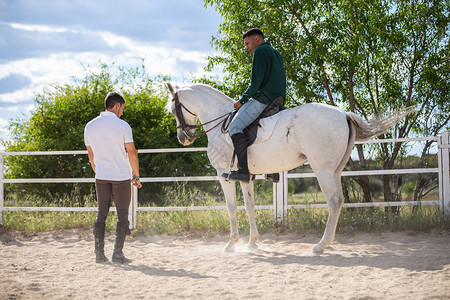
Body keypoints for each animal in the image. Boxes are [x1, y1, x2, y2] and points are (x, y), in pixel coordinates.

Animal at [167, 82, 414, 253]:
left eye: (173, 110)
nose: (183, 138)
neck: (222, 123)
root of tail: (343, 114)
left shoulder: (223, 174)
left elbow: (231, 208)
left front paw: (231, 244)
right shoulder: (246, 176)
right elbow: (249, 206)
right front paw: (252, 243)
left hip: (322, 169)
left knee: (334, 201)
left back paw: (321, 245)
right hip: (335, 170)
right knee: (340, 200)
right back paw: (328, 242)